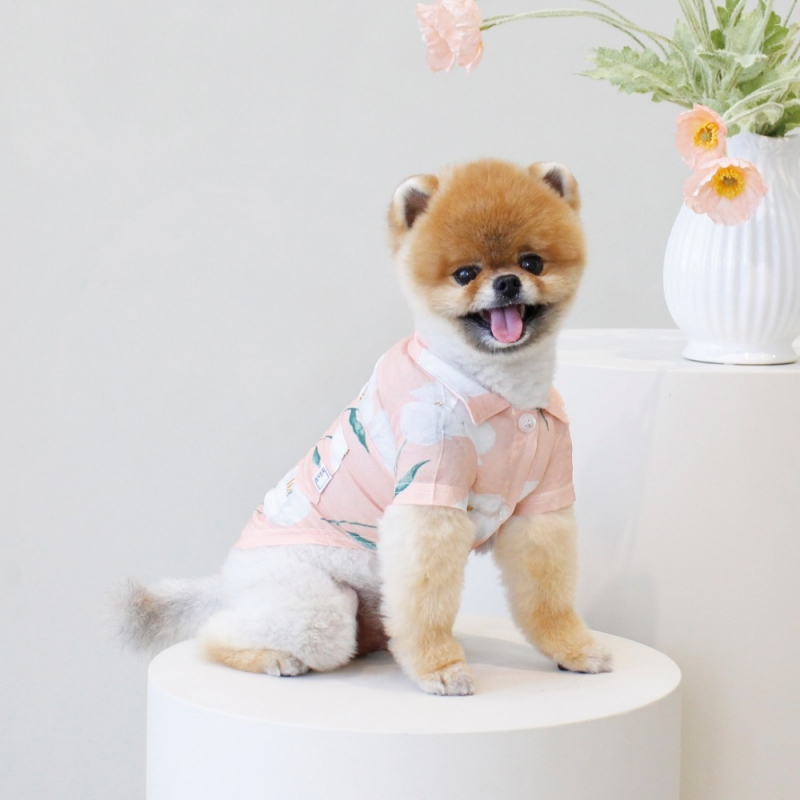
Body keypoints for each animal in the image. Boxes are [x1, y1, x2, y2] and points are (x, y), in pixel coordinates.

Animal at [118, 158, 612, 695]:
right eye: (465, 274)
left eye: (532, 263)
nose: (505, 282)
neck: (501, 389)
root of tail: (227, 583)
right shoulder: (429, 496)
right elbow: (427, 604)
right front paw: (439, 668)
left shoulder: (542, 507)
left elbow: (548, 596)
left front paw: (572, 649)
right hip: (317, 607)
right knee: (219, 634)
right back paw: (273, 657)